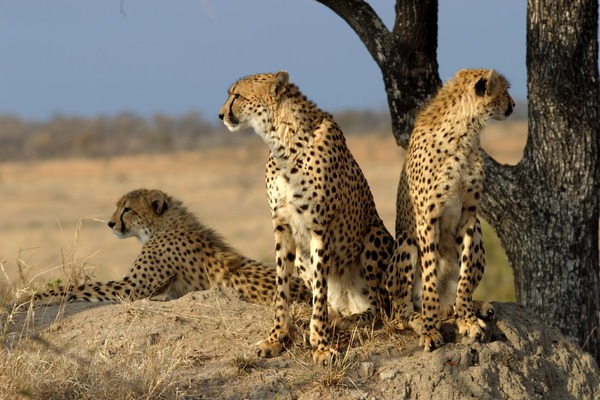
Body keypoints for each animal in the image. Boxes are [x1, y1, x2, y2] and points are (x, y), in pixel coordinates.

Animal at [20, 188, 310, 306]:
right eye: (118, 207)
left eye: (127, 209)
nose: (111, 224)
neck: (161, 226)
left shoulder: (132, 287)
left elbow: (81, 287)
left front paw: (36, 297)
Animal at [220, 70, 394, 364]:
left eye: (237, 95)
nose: (220, 114)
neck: (282, 140)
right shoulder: (282, 226)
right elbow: (282, 288)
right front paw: (276, 338)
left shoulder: (319, 228)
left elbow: (320, 291)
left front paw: (321, 345)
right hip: (303, 259)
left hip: (374, 235)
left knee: (382, 307)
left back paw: (353, 319)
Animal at [386, 70, 512, 352]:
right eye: (505, 90)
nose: (513, 105)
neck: (464, 134)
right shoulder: (427, 220)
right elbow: (430, 278)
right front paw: (430, 330)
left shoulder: (469, 216)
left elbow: (464, 279)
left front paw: (467, 319)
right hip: (406, 244)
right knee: (399, 311)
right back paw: (418, 318)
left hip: (478, 232)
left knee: (454, 295)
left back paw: (475, 306)